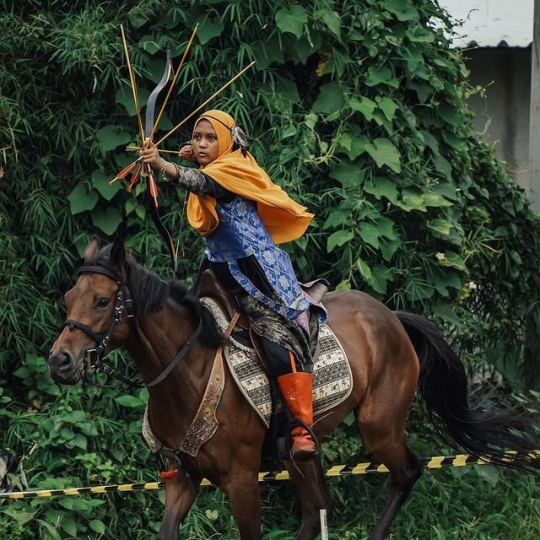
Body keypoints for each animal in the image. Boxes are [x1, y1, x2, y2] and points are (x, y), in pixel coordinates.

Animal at [48, 239, 536, 540]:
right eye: (69, 298)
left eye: (103, 301)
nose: (60, 361)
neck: (189, 369)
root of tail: (393, 318)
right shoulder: (182, 477)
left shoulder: (241, 480)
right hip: (299, 450)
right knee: (320, 505)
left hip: (379, 426)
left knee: (406, 473)